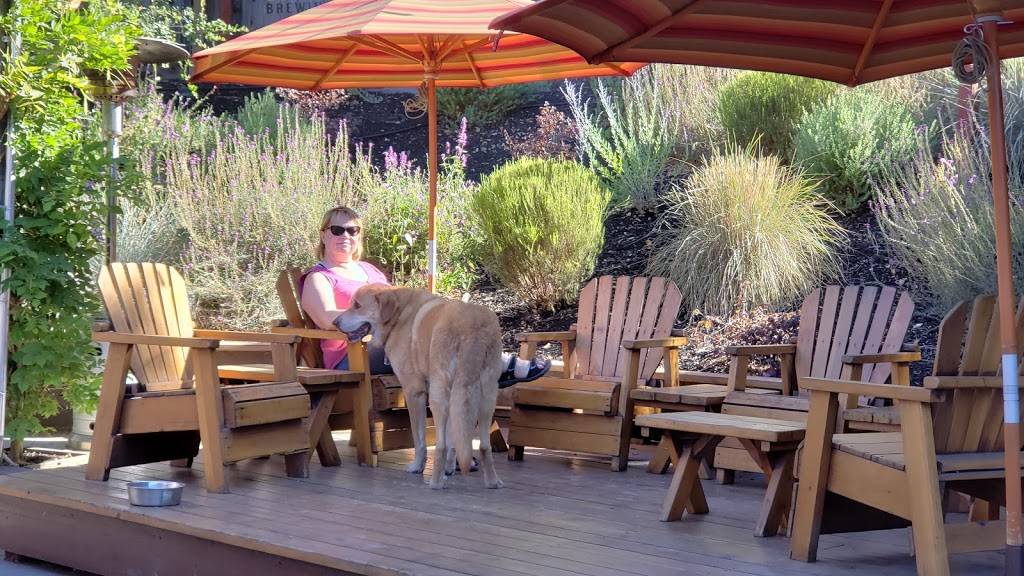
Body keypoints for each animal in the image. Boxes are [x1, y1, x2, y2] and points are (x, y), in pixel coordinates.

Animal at [334, 284, 504, 489]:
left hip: (439, 396)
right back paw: (492, 482)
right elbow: (452, 438)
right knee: (484, 445)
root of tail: (472, 327)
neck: (399, 315)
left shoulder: (413, 392)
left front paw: (418, 467)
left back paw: (435, 483)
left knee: (440, 445)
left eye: (357, 305)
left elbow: (420, 438)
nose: (334, 322)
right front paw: (449, 468)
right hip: (485, 396)